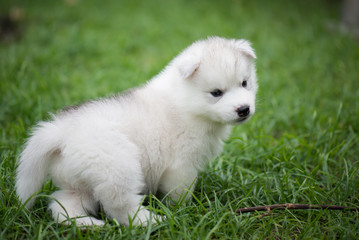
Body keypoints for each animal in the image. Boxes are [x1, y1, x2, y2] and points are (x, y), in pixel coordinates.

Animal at [16, 36, 258, 226]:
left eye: (245, 83)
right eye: (216, 92)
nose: (244, 109)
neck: (185, 103)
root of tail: (61, 131)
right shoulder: (181, 164)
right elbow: (180, 191)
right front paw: (182, 210)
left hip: (78, 182)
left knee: (62, 205)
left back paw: (87, 225)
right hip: (117, 167)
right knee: (120, 207)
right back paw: (151, 220)